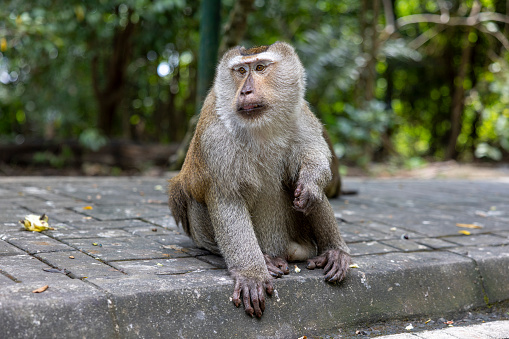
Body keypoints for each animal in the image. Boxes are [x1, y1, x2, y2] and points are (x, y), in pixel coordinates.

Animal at [169, 41, 352, 318]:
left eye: (260, 68)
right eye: (241, 71)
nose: (245, 90)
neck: (261, 127)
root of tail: (287, 249)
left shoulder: (301, 113)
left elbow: (315, 156)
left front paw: (310, 182)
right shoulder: (215, 135)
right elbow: (226, 198)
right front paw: (251, 274)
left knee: (302, 185)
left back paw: (334, 251)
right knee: (195, 196)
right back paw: (266, 259)